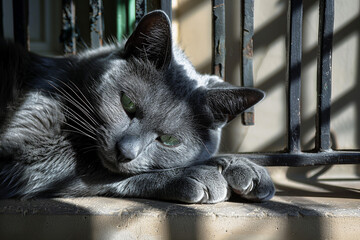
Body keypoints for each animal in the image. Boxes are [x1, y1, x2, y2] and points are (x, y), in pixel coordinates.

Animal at [0, 10, 274, 202]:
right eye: (127, 104)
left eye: (170, 140)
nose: (125, 152)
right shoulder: (24, 151)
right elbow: (94, 168)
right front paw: (193, 174)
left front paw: (243, 166)